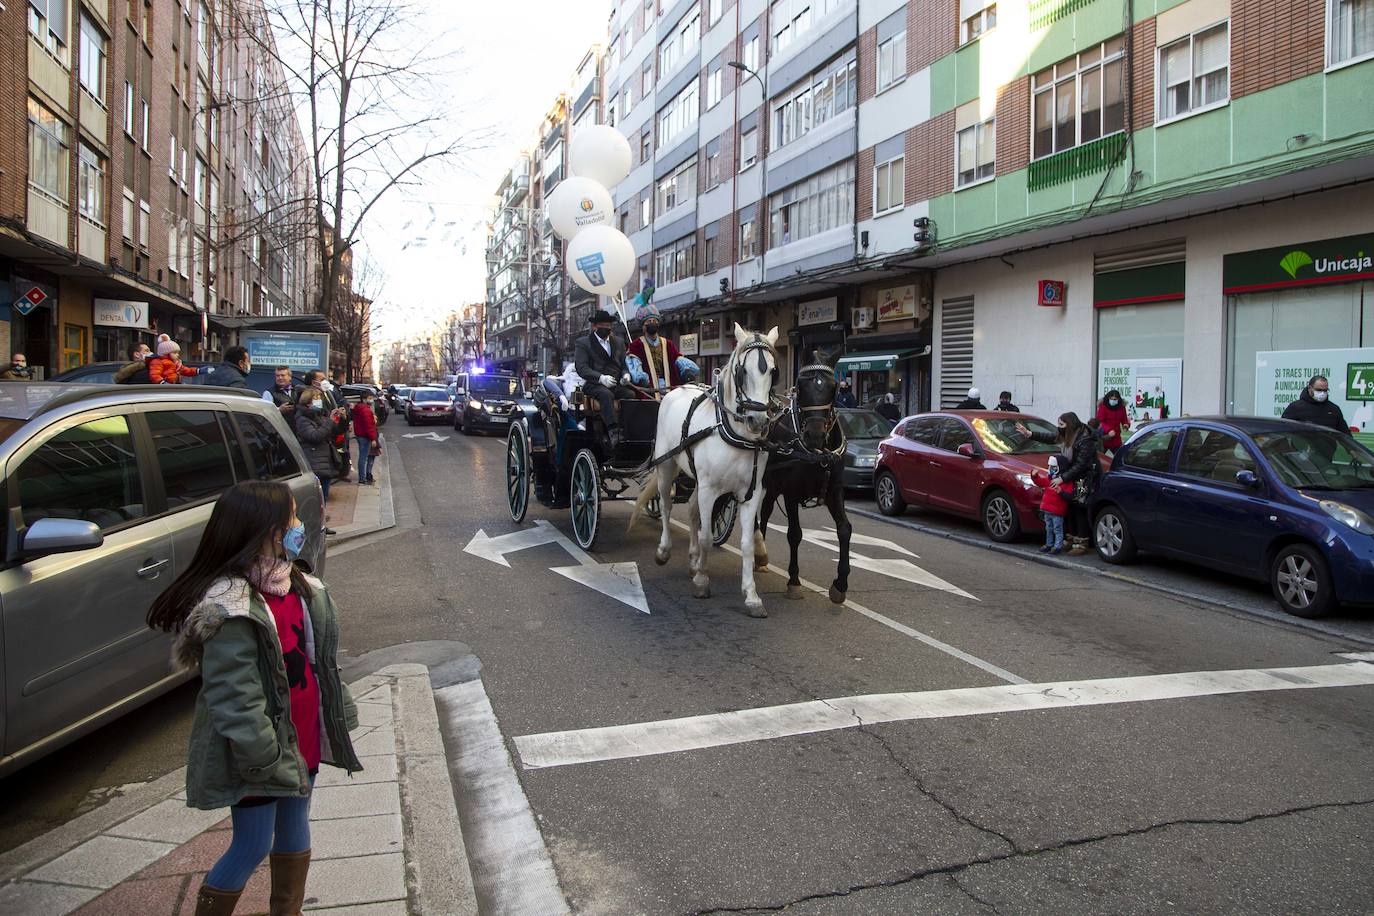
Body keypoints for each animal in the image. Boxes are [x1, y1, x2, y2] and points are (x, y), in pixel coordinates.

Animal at [629, 322, 780, 615]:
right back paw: (664, 551)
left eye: (772, 371)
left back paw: (692, 560)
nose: (758, 422)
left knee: (690, 510)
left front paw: (751, 595)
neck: (733, 432)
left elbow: (746, 543)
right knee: (666, 506)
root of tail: (675, 390)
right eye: (743, 371)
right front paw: (702, 580)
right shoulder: (710, 489)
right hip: (666, 466)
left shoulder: (751, 493)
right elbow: (707, 536)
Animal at [752, 354, 846, 604]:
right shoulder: (791, 493)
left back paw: (760, 555)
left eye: (833, 387)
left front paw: (840, 584)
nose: (814, 434)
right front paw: (794, 581)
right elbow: (794, 533)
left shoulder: (834, 491)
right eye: (801, 387)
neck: (817, 453)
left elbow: (844, 529)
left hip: (772, 485)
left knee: (765, 510)